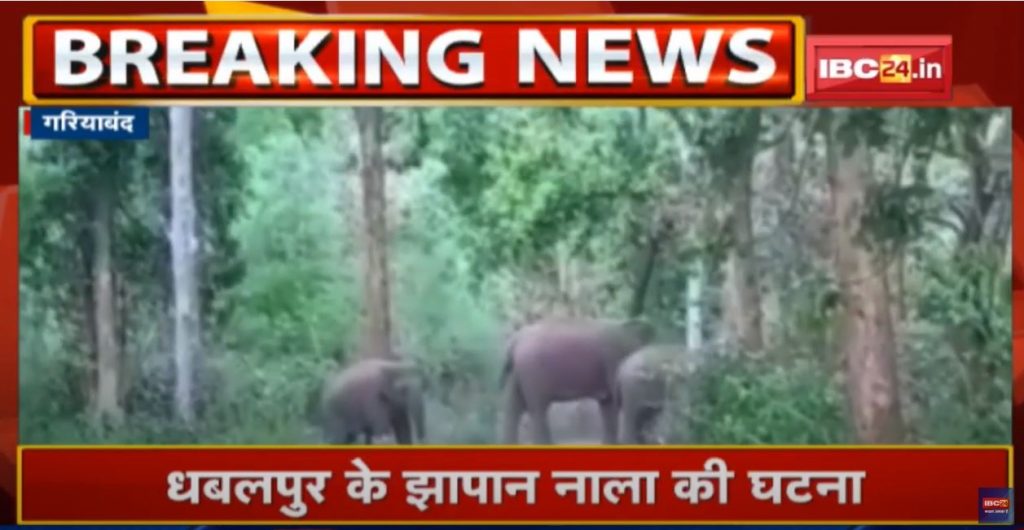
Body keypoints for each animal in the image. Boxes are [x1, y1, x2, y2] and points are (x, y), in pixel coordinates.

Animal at [499, 317, 656, 445]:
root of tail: (515, 340)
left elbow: (608, 404)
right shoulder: (613, 360)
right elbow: (616, 403)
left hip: (516, 373)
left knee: (514, 408)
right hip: (532, 371)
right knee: (537, 410)